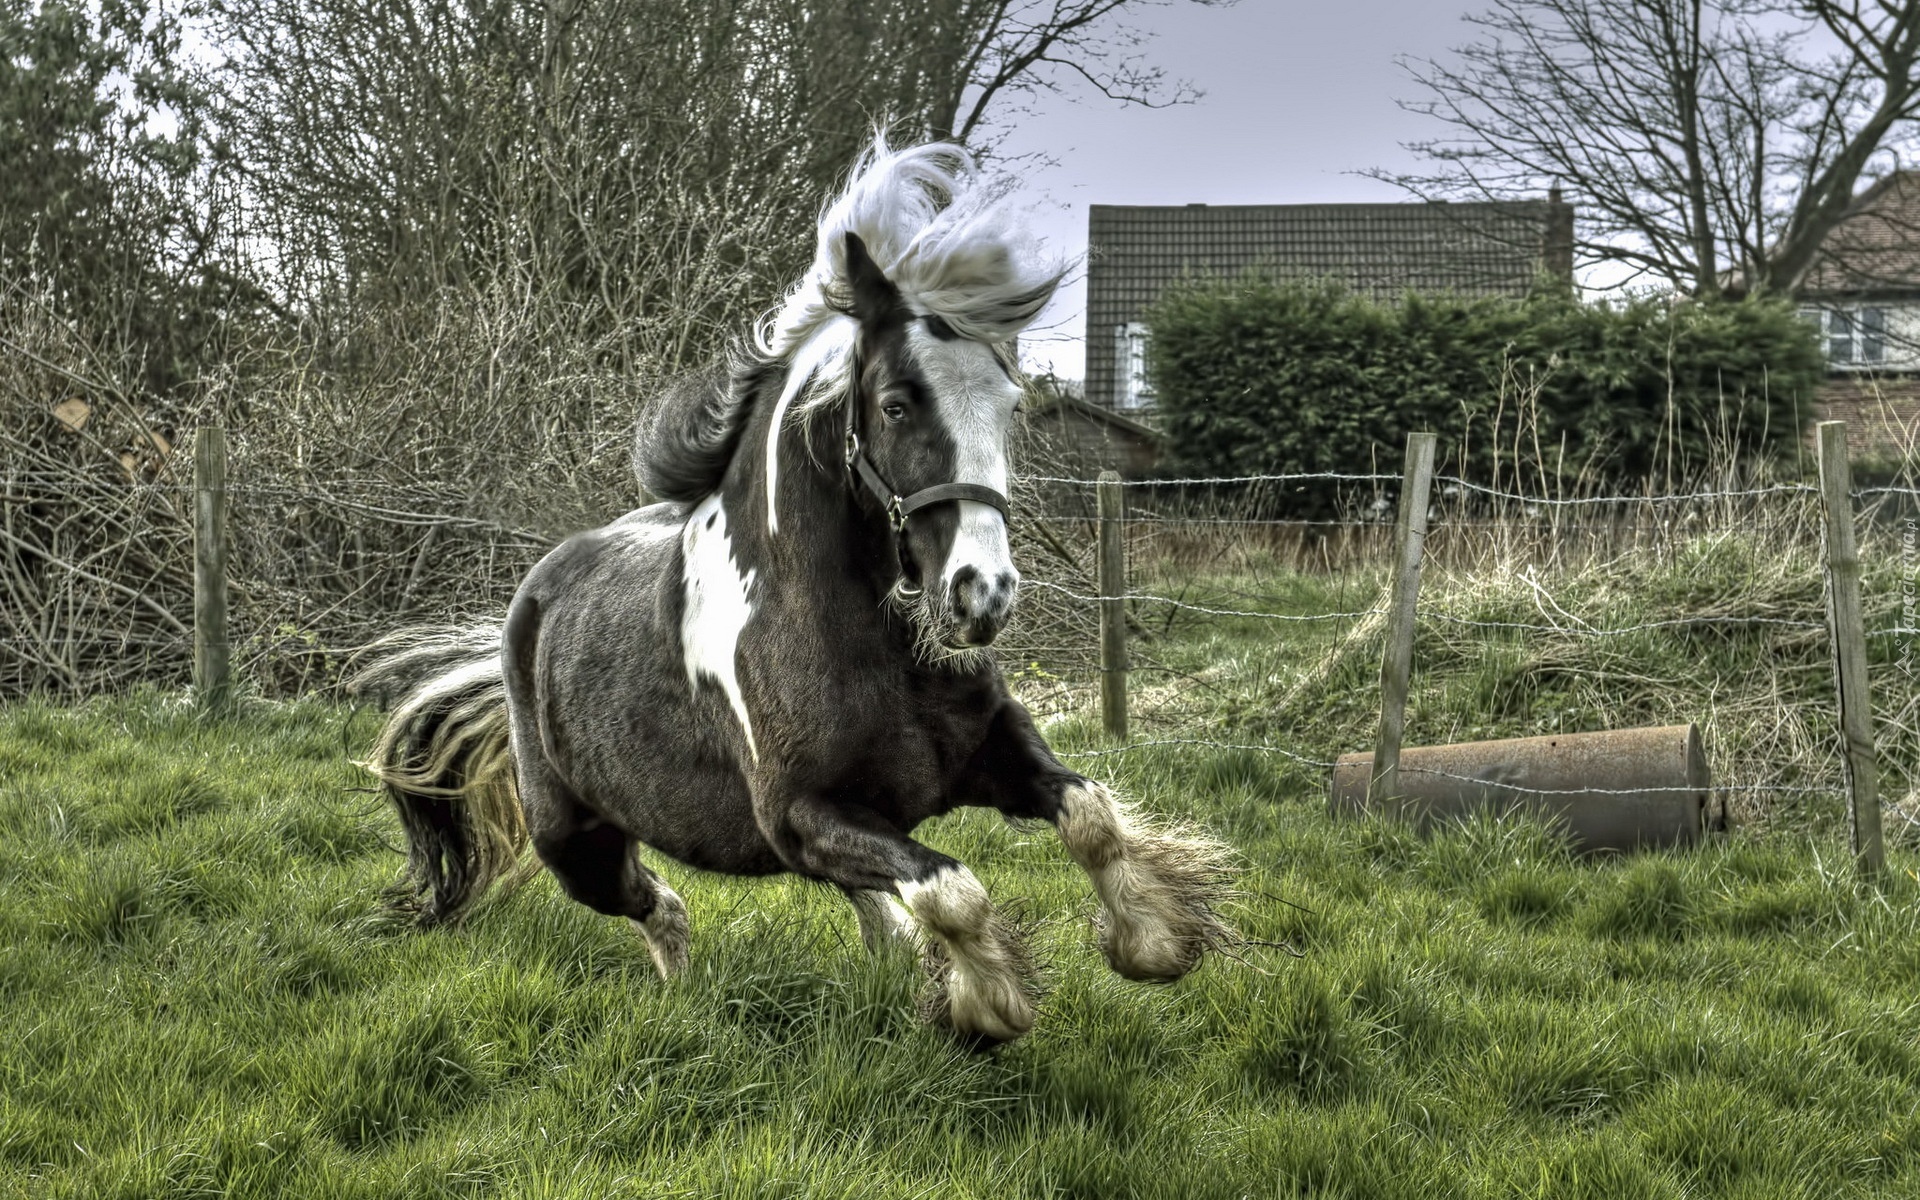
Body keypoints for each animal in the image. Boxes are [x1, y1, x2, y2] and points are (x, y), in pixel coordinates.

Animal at [360, 138, 1228, 1036]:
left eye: (1010, 406)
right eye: (895, 405)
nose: (981, 596)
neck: (857, 634)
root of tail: (531, 600)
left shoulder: (992, 750)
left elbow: (1089, 817)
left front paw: (1155, 945)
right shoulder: (803, 815)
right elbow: (953, 891)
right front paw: (988, 1007)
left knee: (858, 909)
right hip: (574, 845)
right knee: (664, 907)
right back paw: (687, 999)